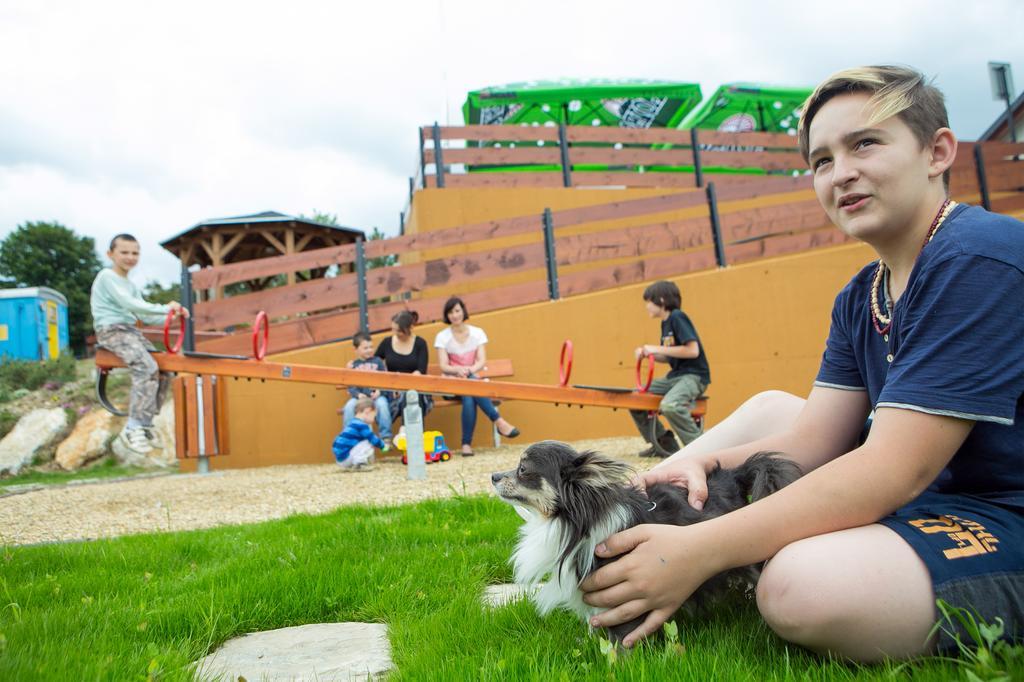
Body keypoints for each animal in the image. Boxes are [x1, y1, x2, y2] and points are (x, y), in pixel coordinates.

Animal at [491, 440, 802, 643]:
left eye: (523, 469)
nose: (493, 475)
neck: (572, 522)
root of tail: (732, 475)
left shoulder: (621, 591)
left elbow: (621, 639)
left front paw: (617, 665)